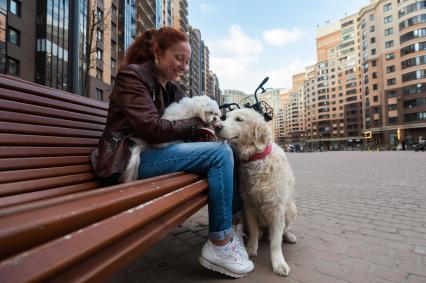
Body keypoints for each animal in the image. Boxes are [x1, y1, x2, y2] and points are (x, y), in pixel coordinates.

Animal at [215, 108, 298, 278]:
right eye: (225, 117)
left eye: (239, 119)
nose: (216, 126)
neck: (256, 159)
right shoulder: (249, 206)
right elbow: (253, 230)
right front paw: (251, 248)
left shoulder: (276, 208)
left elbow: (276, 242)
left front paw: (279, 263)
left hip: (291, 208)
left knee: (284, 229)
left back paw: (289, 236)